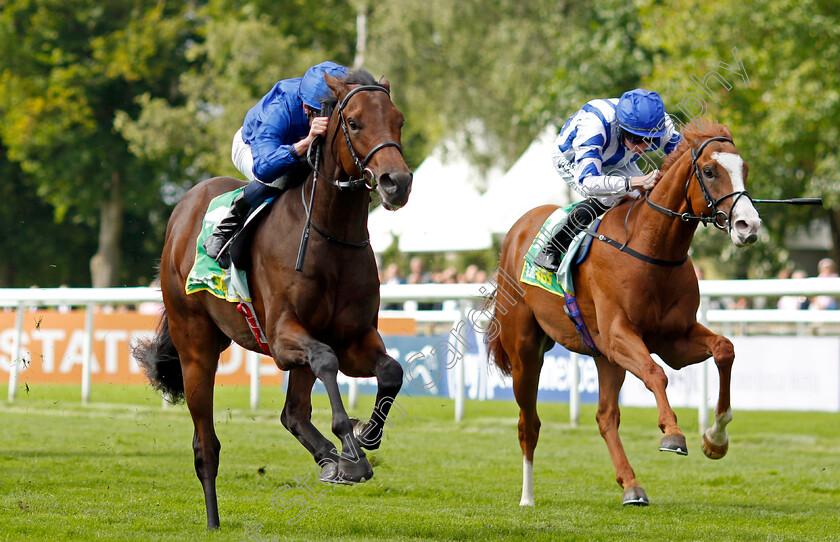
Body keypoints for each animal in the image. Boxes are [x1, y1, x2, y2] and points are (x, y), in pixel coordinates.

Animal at [133, 69, 416, 532]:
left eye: (399, 120)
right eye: (353, 122)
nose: (398, 182)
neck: (330, 235)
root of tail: (182, 212)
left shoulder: (353, 337)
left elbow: (390, 371)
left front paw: (361, 438)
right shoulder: (284, 337)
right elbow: (326, 362)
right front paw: (350, 449)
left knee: (293, 413)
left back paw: (329, 458)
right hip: (196, 346)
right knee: (205, 445)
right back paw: (213, 521)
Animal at [486, 122, 760, 510]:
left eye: (744, 169)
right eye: (709, 171)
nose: (748, 225)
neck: (651, 249)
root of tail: (516, 232)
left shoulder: (673, 340)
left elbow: (724, 349)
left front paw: (715, 438)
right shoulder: (619, 335)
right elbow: (656, 373)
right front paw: (673, 433)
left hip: (604, 357)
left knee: (605, 417)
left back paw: (631, 485)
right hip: (526, 351)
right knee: (530, 423)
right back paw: (527, 497)